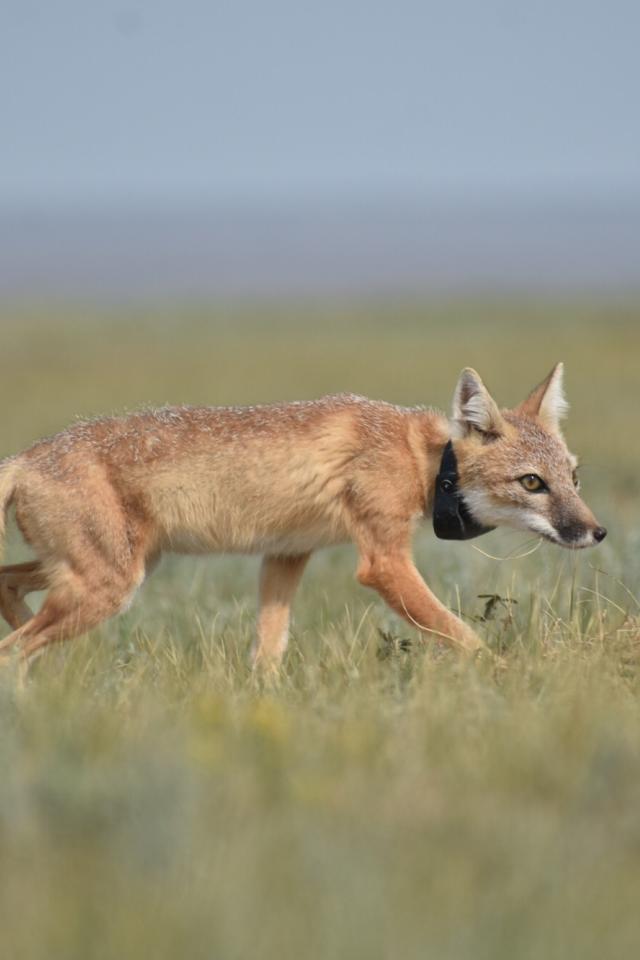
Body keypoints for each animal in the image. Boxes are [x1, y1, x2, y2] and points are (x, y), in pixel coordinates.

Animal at [0, 364, 604, 664]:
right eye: (532, 483)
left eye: (574, 479)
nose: (597, 532)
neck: (424, 458)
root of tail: (26, 456)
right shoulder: (384, 562)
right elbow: (461, 636)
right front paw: (510, 683)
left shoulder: (286, 554)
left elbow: (268, 651)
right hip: (109, 584)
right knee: (10, 652)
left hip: (109, 572)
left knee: (9, 590)